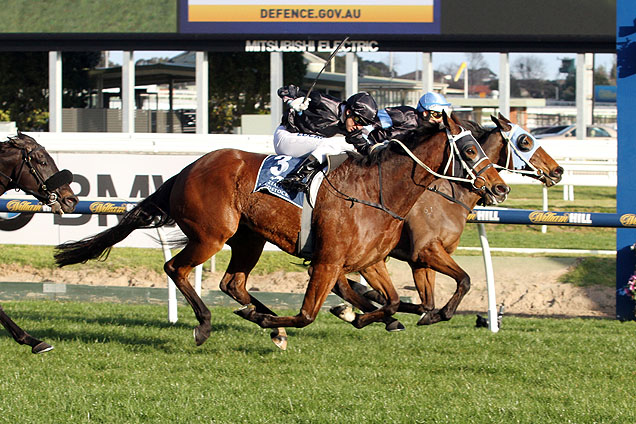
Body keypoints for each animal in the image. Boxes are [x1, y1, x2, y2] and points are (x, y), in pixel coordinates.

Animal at [54, 113, 506, 348]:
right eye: (470, 149)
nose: (499, 187)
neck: (375, 192)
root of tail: (187, 169)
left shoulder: (370, 261)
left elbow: (392, 301)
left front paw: (364, 316)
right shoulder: (328, 261)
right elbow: (309, 314)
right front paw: (351, 314)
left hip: (248, 239)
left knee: (233, 283)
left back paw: (263, 318)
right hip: (211, 234)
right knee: (176, 269)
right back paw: (210, 324)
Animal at [330, 115, 564, 328]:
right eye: (525, 141)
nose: (558, 170)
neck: (449, 197)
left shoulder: (421, 261)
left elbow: (426, 303)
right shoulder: (428, 250)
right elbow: (464, 281)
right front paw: (436, 315)